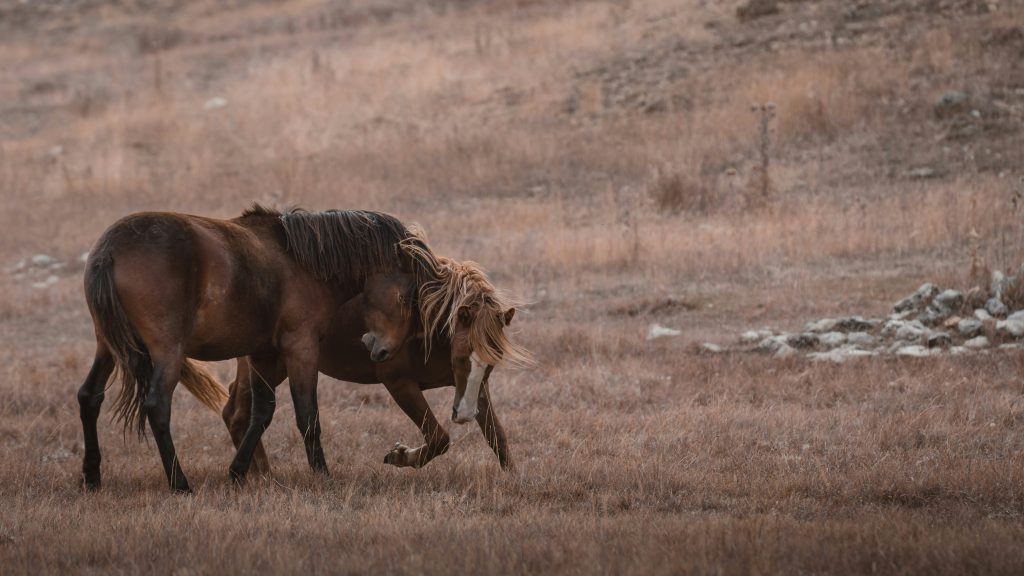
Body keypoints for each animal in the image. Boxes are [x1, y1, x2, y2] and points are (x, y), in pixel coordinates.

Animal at [78, 205, 439, 492]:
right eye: (407, 296)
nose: (381, 351)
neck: (304, 262)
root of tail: (109, 251)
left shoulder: (264, 355)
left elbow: (261, 412)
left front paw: (238, 471)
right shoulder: (301, 347)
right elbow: (308, 416)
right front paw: (322, 475)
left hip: (107, 347)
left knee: (89, 396)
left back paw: (92, 475)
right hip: (168, 352)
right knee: (157, 407)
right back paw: (180, 483)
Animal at [222, 253, 531, 473]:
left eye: (491, 364)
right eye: (460, 357)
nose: (464, 416)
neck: (425, 323)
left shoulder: (473, 388)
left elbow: (497, 436)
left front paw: (513, 478)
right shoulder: (398, 382)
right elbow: (438, 437)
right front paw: (400, 456)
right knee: (238, 413)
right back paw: (259, 473)